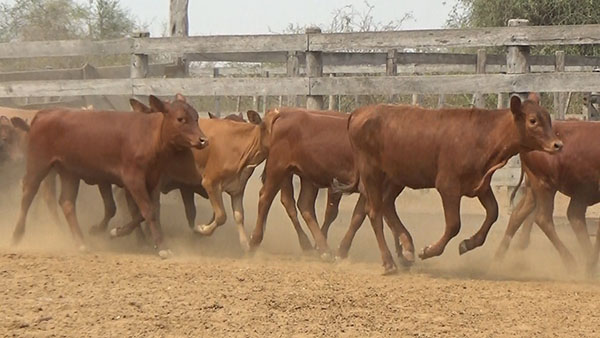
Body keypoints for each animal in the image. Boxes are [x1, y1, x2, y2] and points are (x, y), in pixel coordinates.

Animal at [8, 93, 206, 258]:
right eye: (181, 119)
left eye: (196, 118)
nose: (203, 140)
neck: (148, 136)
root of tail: (42, 114)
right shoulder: (132, 180)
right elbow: (147, 211)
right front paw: (162, 247)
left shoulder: (152, 181)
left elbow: (147, 211)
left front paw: (116, 231)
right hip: (38, 165)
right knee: (28, 194)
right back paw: (16, 236)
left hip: (69, 172)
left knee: (67, 202)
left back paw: (80, 242)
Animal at [342, 93, 564, 274]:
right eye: (533, 120)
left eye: (548, 118)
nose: (558, 145)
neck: (483, 135)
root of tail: (359, 112)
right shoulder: (448, 187)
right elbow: (454, 224)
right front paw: (429, 250)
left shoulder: (481, 186)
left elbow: (493, 213)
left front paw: (468, 243)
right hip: (371, 172)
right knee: (374, 212)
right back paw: (389, 262)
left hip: (396, 176)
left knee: (387, 205)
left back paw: (407, 249)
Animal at [494, 120, 600, 274]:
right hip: (545, 185)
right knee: (545, 218)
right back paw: (572, 262)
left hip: (534, 188)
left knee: (518, 215)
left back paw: (498, 258)